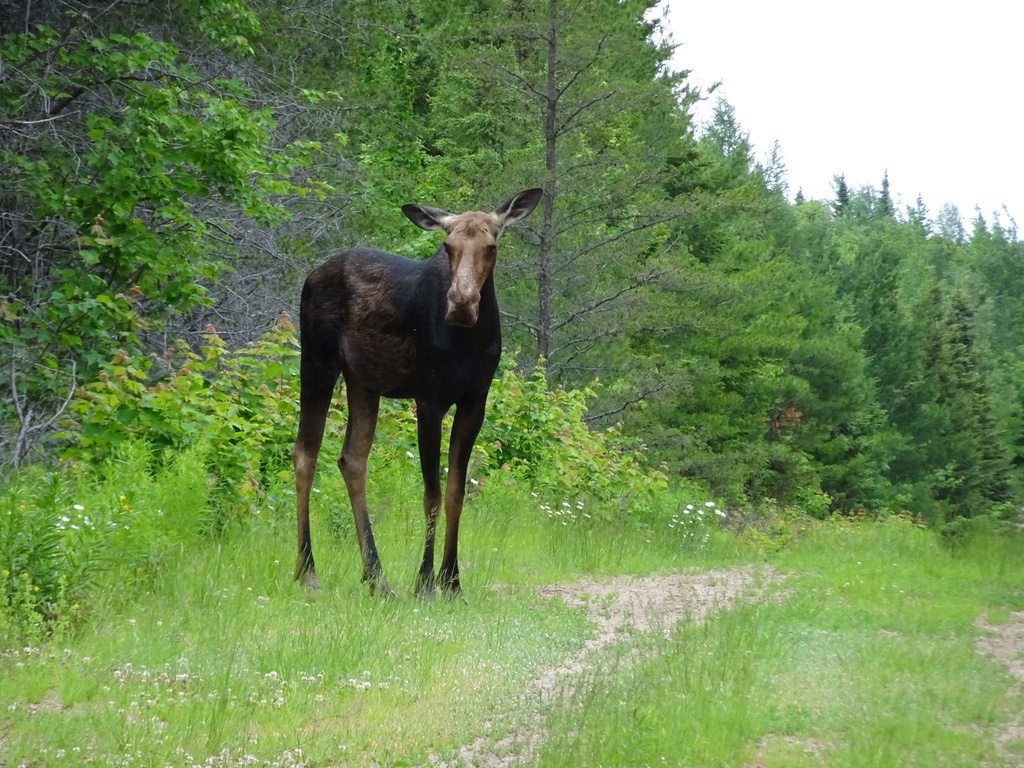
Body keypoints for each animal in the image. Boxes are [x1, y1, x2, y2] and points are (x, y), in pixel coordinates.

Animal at [292, 189, 544, 598]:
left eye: (491, 246)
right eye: (447, 245)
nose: (461, 303)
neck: (469, 341)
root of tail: (311, 277)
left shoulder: (475, 402)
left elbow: (456, 490)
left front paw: (452, 581)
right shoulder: (429, 400)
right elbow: (432, 493)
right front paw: (425, 582)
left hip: (363, 381)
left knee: (352, 459)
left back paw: (377, 577)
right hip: (318, 360)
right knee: (305, 453)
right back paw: (308, 572)